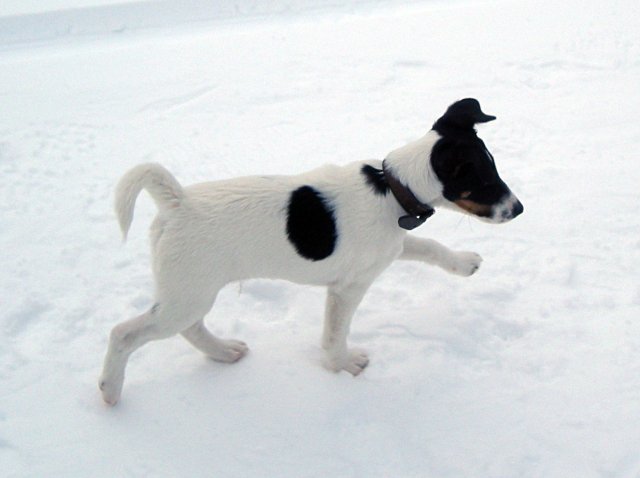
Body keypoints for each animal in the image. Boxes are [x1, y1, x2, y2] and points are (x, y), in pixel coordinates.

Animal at [99, 99, 520, 406]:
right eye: (484, 180)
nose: (518, 209)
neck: (390, 188)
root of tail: (177, 203)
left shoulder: (392, 246)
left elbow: (430, 247)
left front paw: (464, 263)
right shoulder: (349, 287)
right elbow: (335, 333)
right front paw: (342, 365)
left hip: (189, 291)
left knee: (191, 327)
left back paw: (223, 352)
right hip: (187, 294)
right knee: (125, 334)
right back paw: (111, 391)